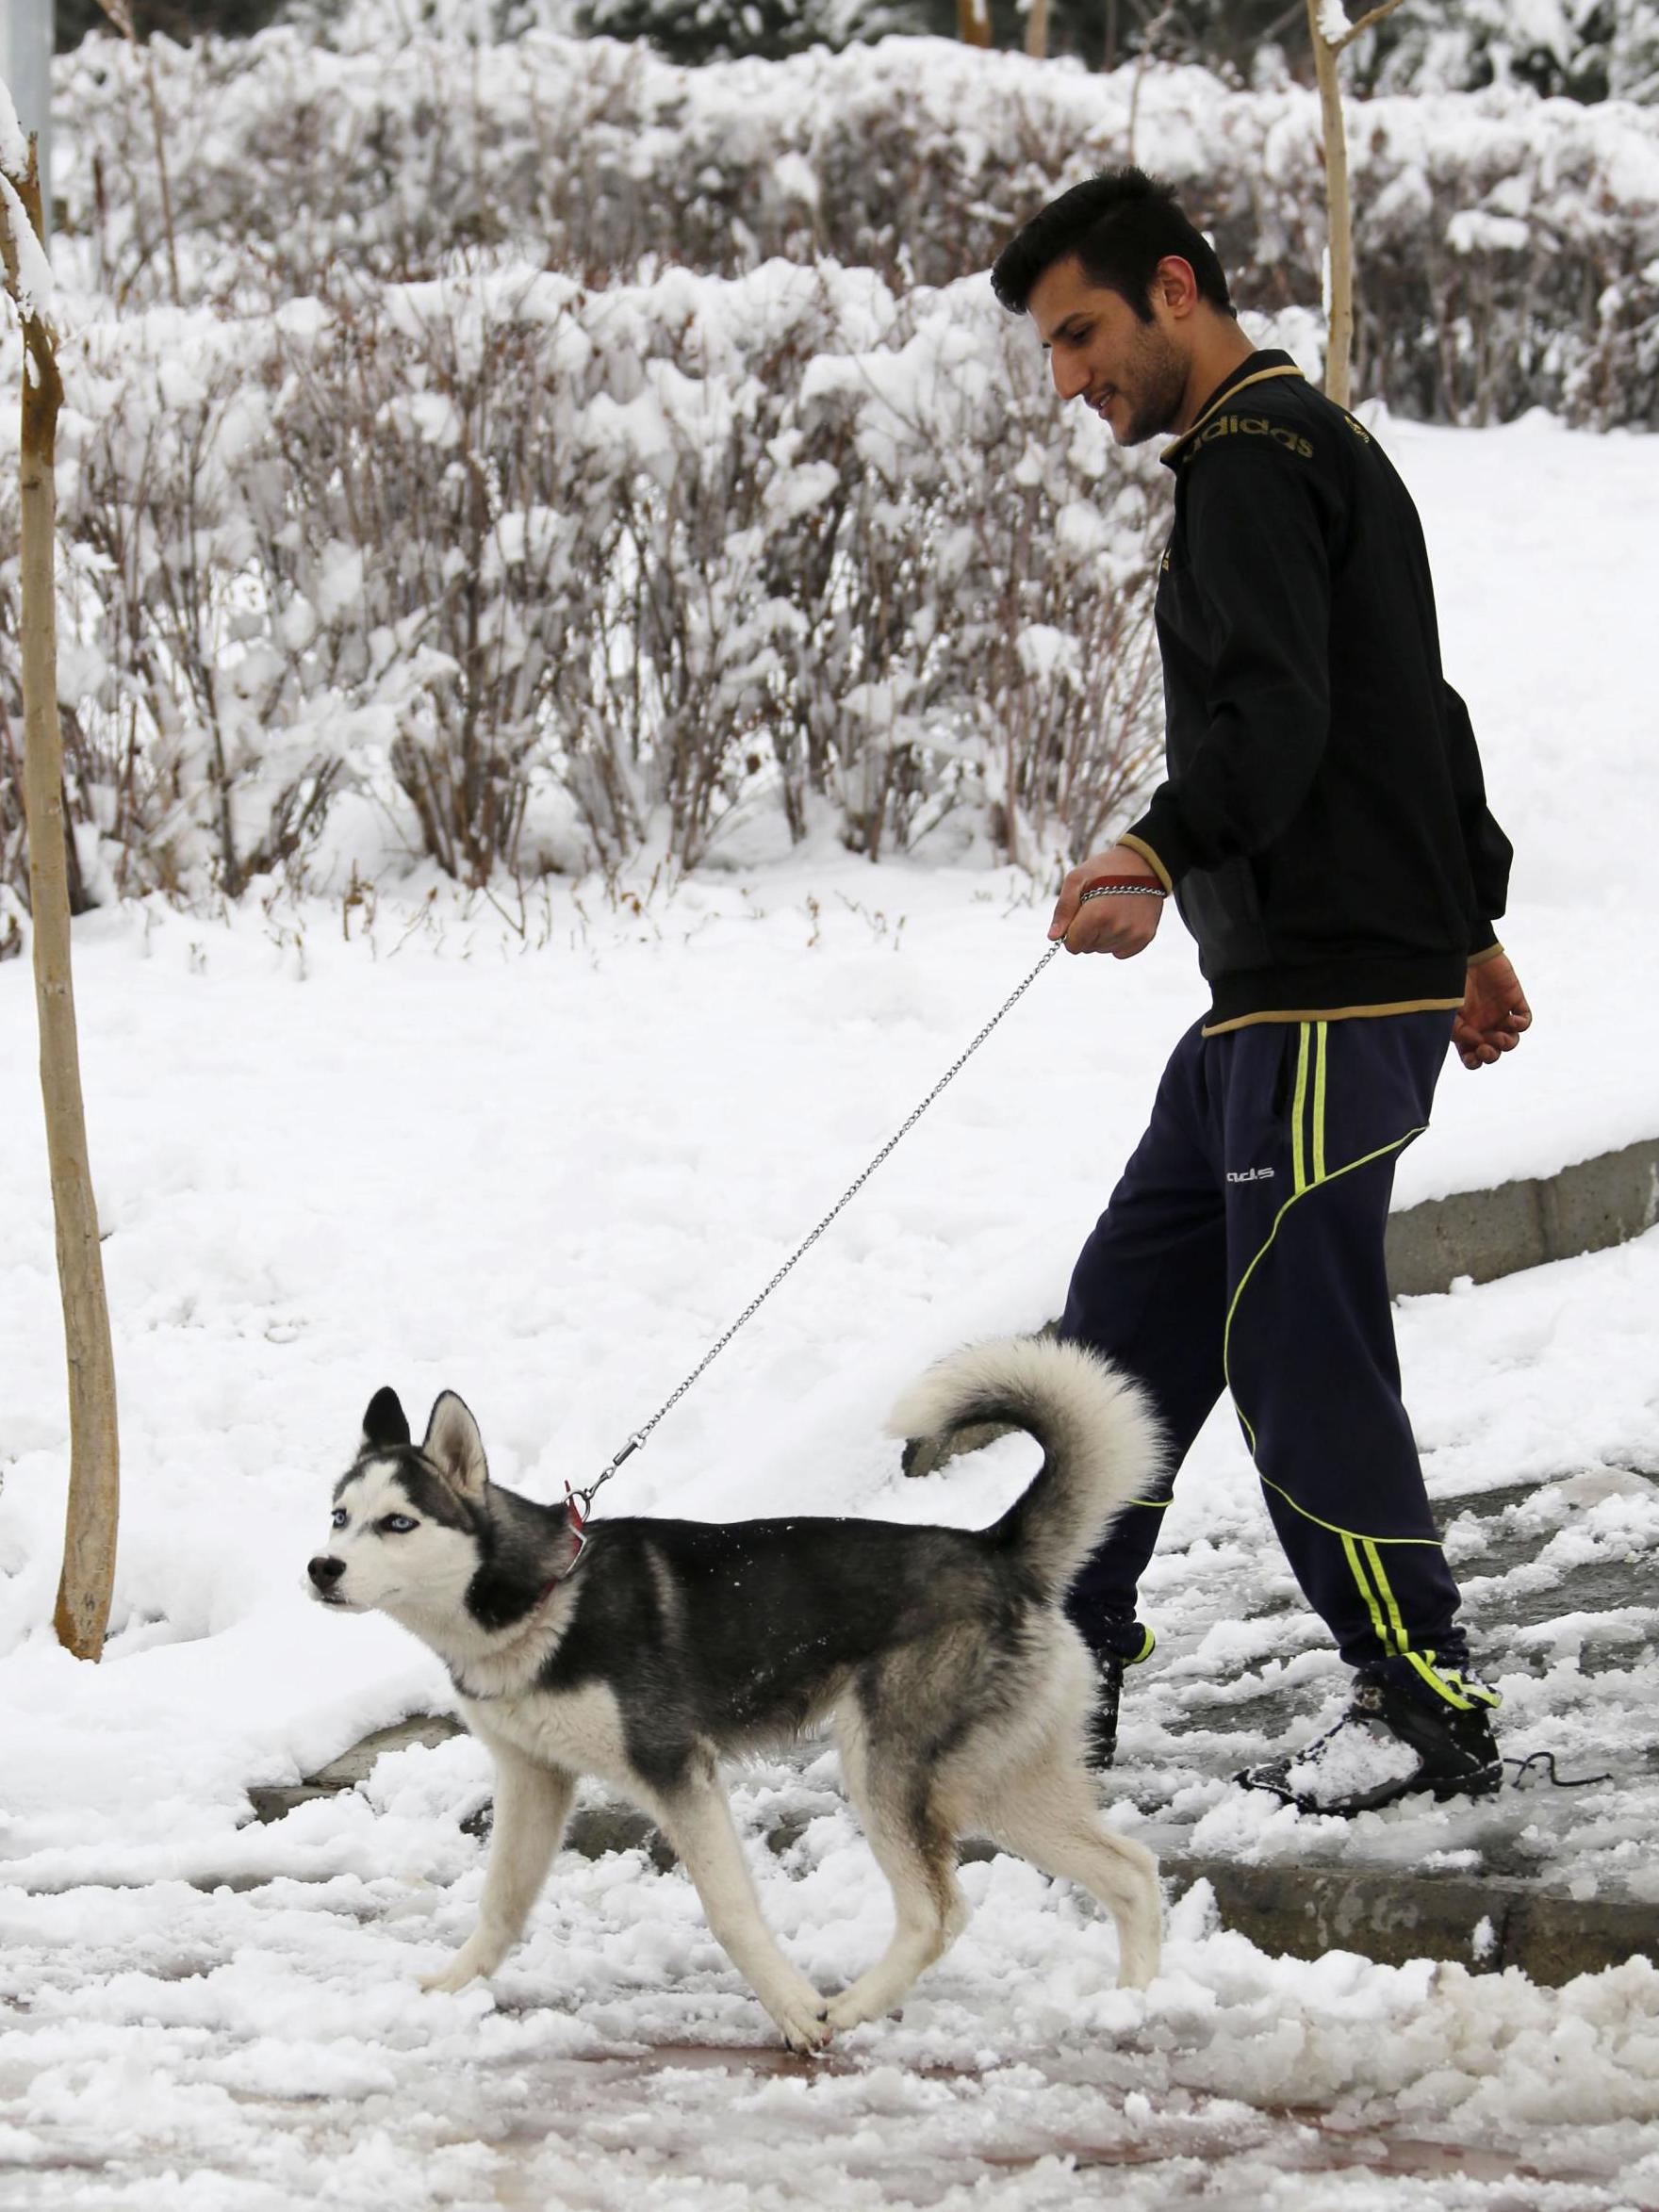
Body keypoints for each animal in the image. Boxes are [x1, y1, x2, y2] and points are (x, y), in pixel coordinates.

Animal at [314, 1318, 1168, 2043]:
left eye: (398, 1522)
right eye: (339, 1515)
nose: (322, 1568)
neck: (541, 1600)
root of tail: (996, 1547)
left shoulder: (678, 1770)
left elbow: (729, 1910)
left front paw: (793, 2009)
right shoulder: (533, 1777)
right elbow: (500, 1902)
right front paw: (450, 1988)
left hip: (885, 1768)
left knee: (938, 1913)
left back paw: (848, 2008)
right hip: (997, 1782)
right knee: (1130, 1869)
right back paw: (1132, 2004)